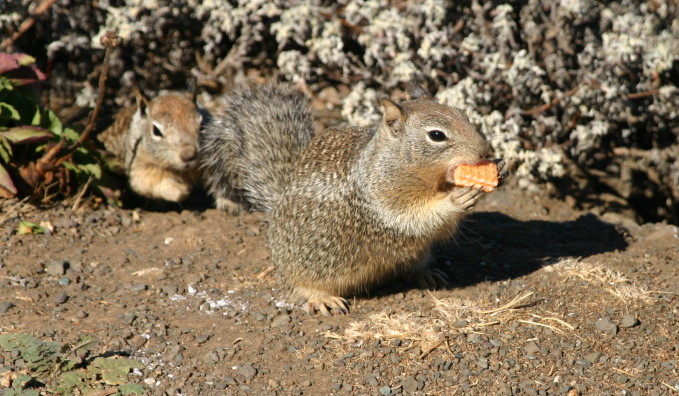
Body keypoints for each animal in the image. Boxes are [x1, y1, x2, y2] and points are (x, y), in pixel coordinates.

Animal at [268, 83, 508, 316]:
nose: (483, 150)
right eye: (437, 135)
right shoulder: (382, 205)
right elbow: (414, 219)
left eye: (463, 114)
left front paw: (501, 168)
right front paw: (455, 200)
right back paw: (322, 298)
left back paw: (425, 273)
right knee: (302, 284)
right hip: (305, 265)